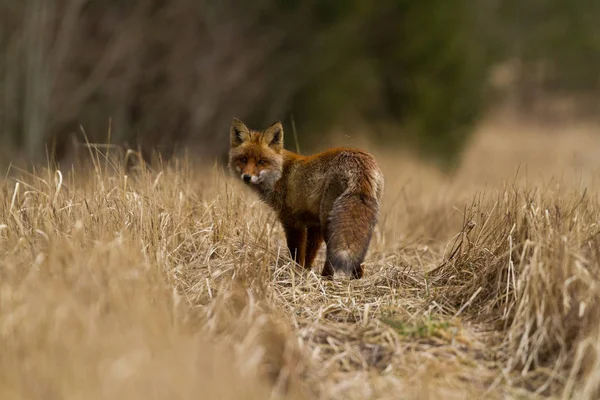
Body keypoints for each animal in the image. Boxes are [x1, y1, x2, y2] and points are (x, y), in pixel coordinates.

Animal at [227, 118, 382, 278]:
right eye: (243, 160)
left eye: (261, 162)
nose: (246, 177)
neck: (281, 174)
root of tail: (359, 162)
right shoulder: (314, 223)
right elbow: (310, 254)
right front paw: (306, 272)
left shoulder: (293, 221)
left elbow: (296, 253)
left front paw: (295, 273)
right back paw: (356, 279)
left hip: (330, 222)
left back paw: (326, 278)